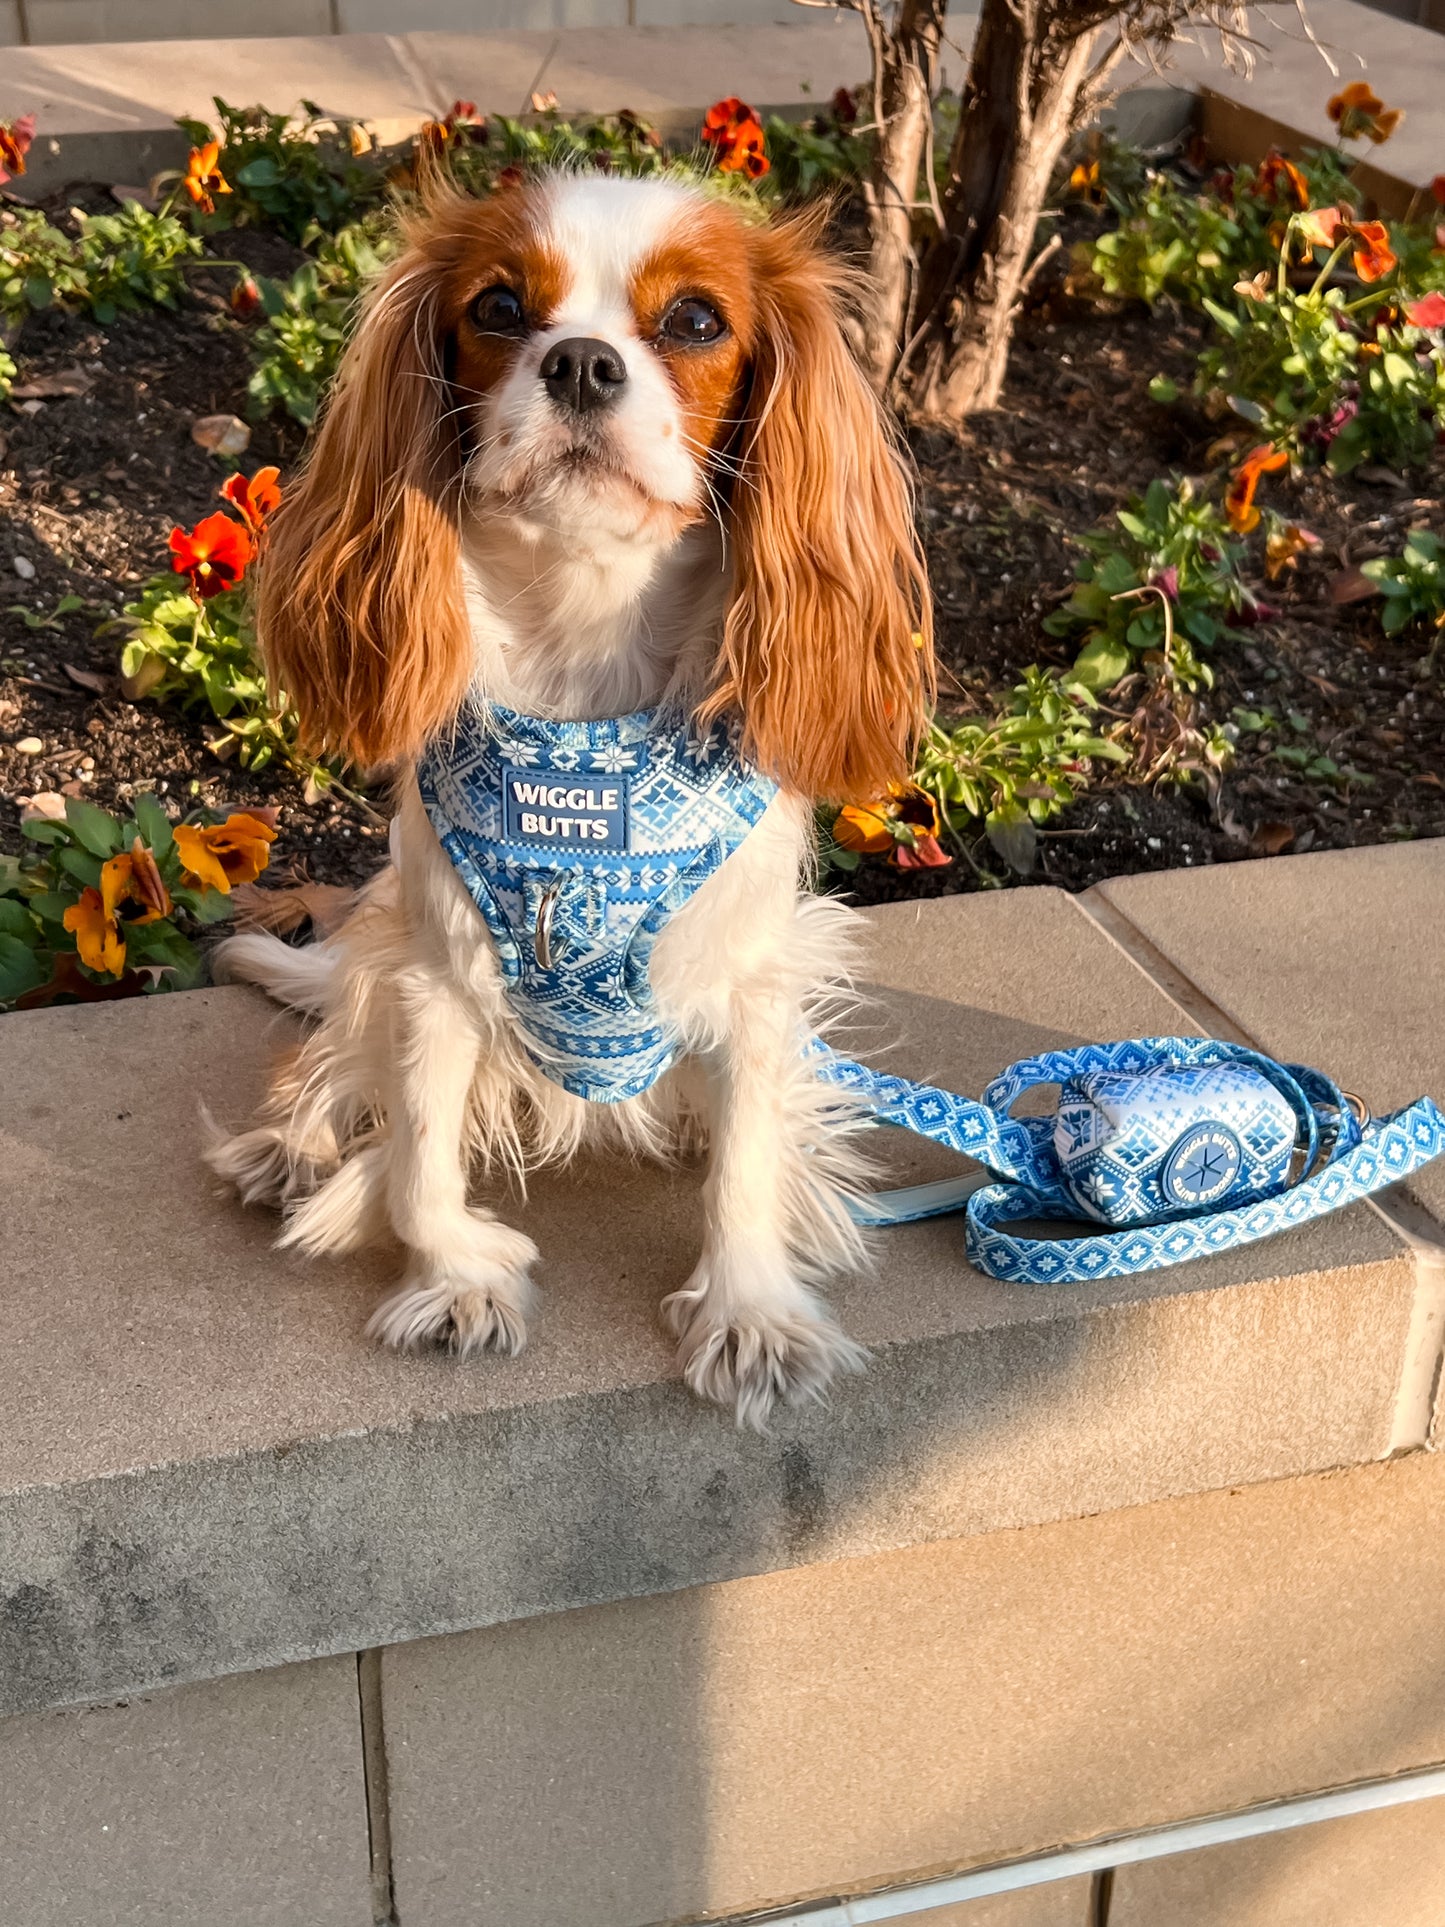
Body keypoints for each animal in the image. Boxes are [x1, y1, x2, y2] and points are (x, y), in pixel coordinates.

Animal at [209, 173, 932, 1425]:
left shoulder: (751, 981)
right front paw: (454, 1277)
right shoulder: (436, 974)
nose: (582, 363)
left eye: (694, 319)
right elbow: (417, 1158)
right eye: (499, 306)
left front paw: (748, 1312)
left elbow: (747, 1161)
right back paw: (292, 1145)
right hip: (380, 937)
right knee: (340, 1052)